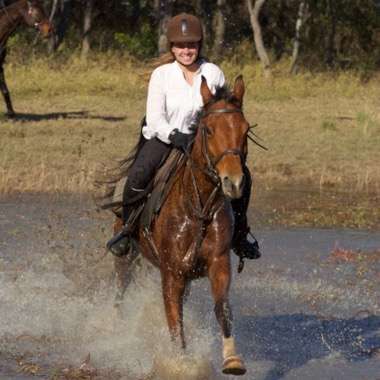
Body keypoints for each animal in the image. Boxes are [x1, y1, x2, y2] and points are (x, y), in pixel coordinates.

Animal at [113, 75, 252, 376]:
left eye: (245, 129)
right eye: (208, 130)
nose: (233, 182)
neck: (197, 207)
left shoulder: (218, 263)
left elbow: (222, 309)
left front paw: (232, 360)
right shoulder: (172, 273)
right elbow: (175, 322)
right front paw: (179, 365)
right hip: (126, 256)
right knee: (120, 288)